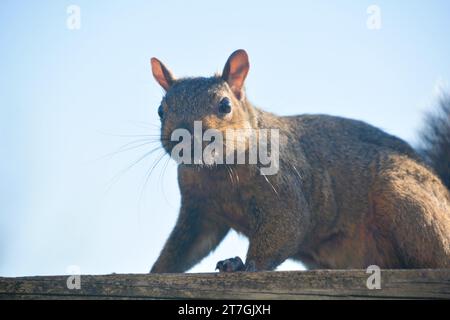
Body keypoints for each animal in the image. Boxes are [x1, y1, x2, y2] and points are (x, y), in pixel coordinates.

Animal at [149, 50, 450, 272]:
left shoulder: (281, 185)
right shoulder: (200, 209)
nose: (183, 137)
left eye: (225, 105)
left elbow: (288, 223)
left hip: (402, 198)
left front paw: (244, 266)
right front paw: (156, 271)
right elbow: (186, 246)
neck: (217, 171)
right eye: (161, 110)